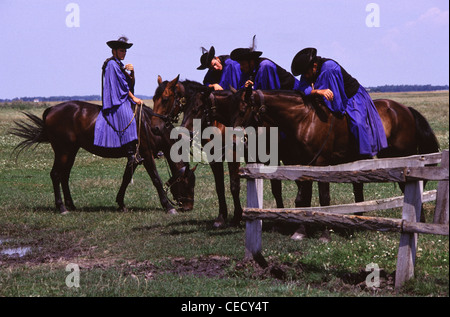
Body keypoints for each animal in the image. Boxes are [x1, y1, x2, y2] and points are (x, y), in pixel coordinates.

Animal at [11, 100, 195, 214]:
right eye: (187, 183)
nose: (189, 206)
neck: (150, 125)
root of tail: (52, 109)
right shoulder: (146, 154)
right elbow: (156, 179)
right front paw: (168, 206)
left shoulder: (135, 157)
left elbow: (126, 178)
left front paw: (121, 203)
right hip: (63, 151)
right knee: (56, 175)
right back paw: (62, 207)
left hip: (71, 151)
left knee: (64, 175)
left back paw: (71, 204)